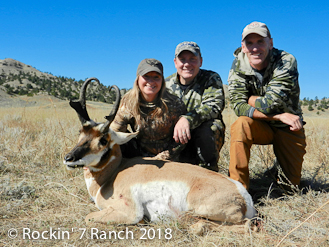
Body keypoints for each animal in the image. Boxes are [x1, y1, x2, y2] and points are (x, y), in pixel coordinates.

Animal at [62, 77, 255, 226]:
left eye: (103, 140)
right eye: (81, 132)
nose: (68, 158)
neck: (114, 173)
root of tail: (243, 197)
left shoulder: (129, 211)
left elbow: (88, 217)